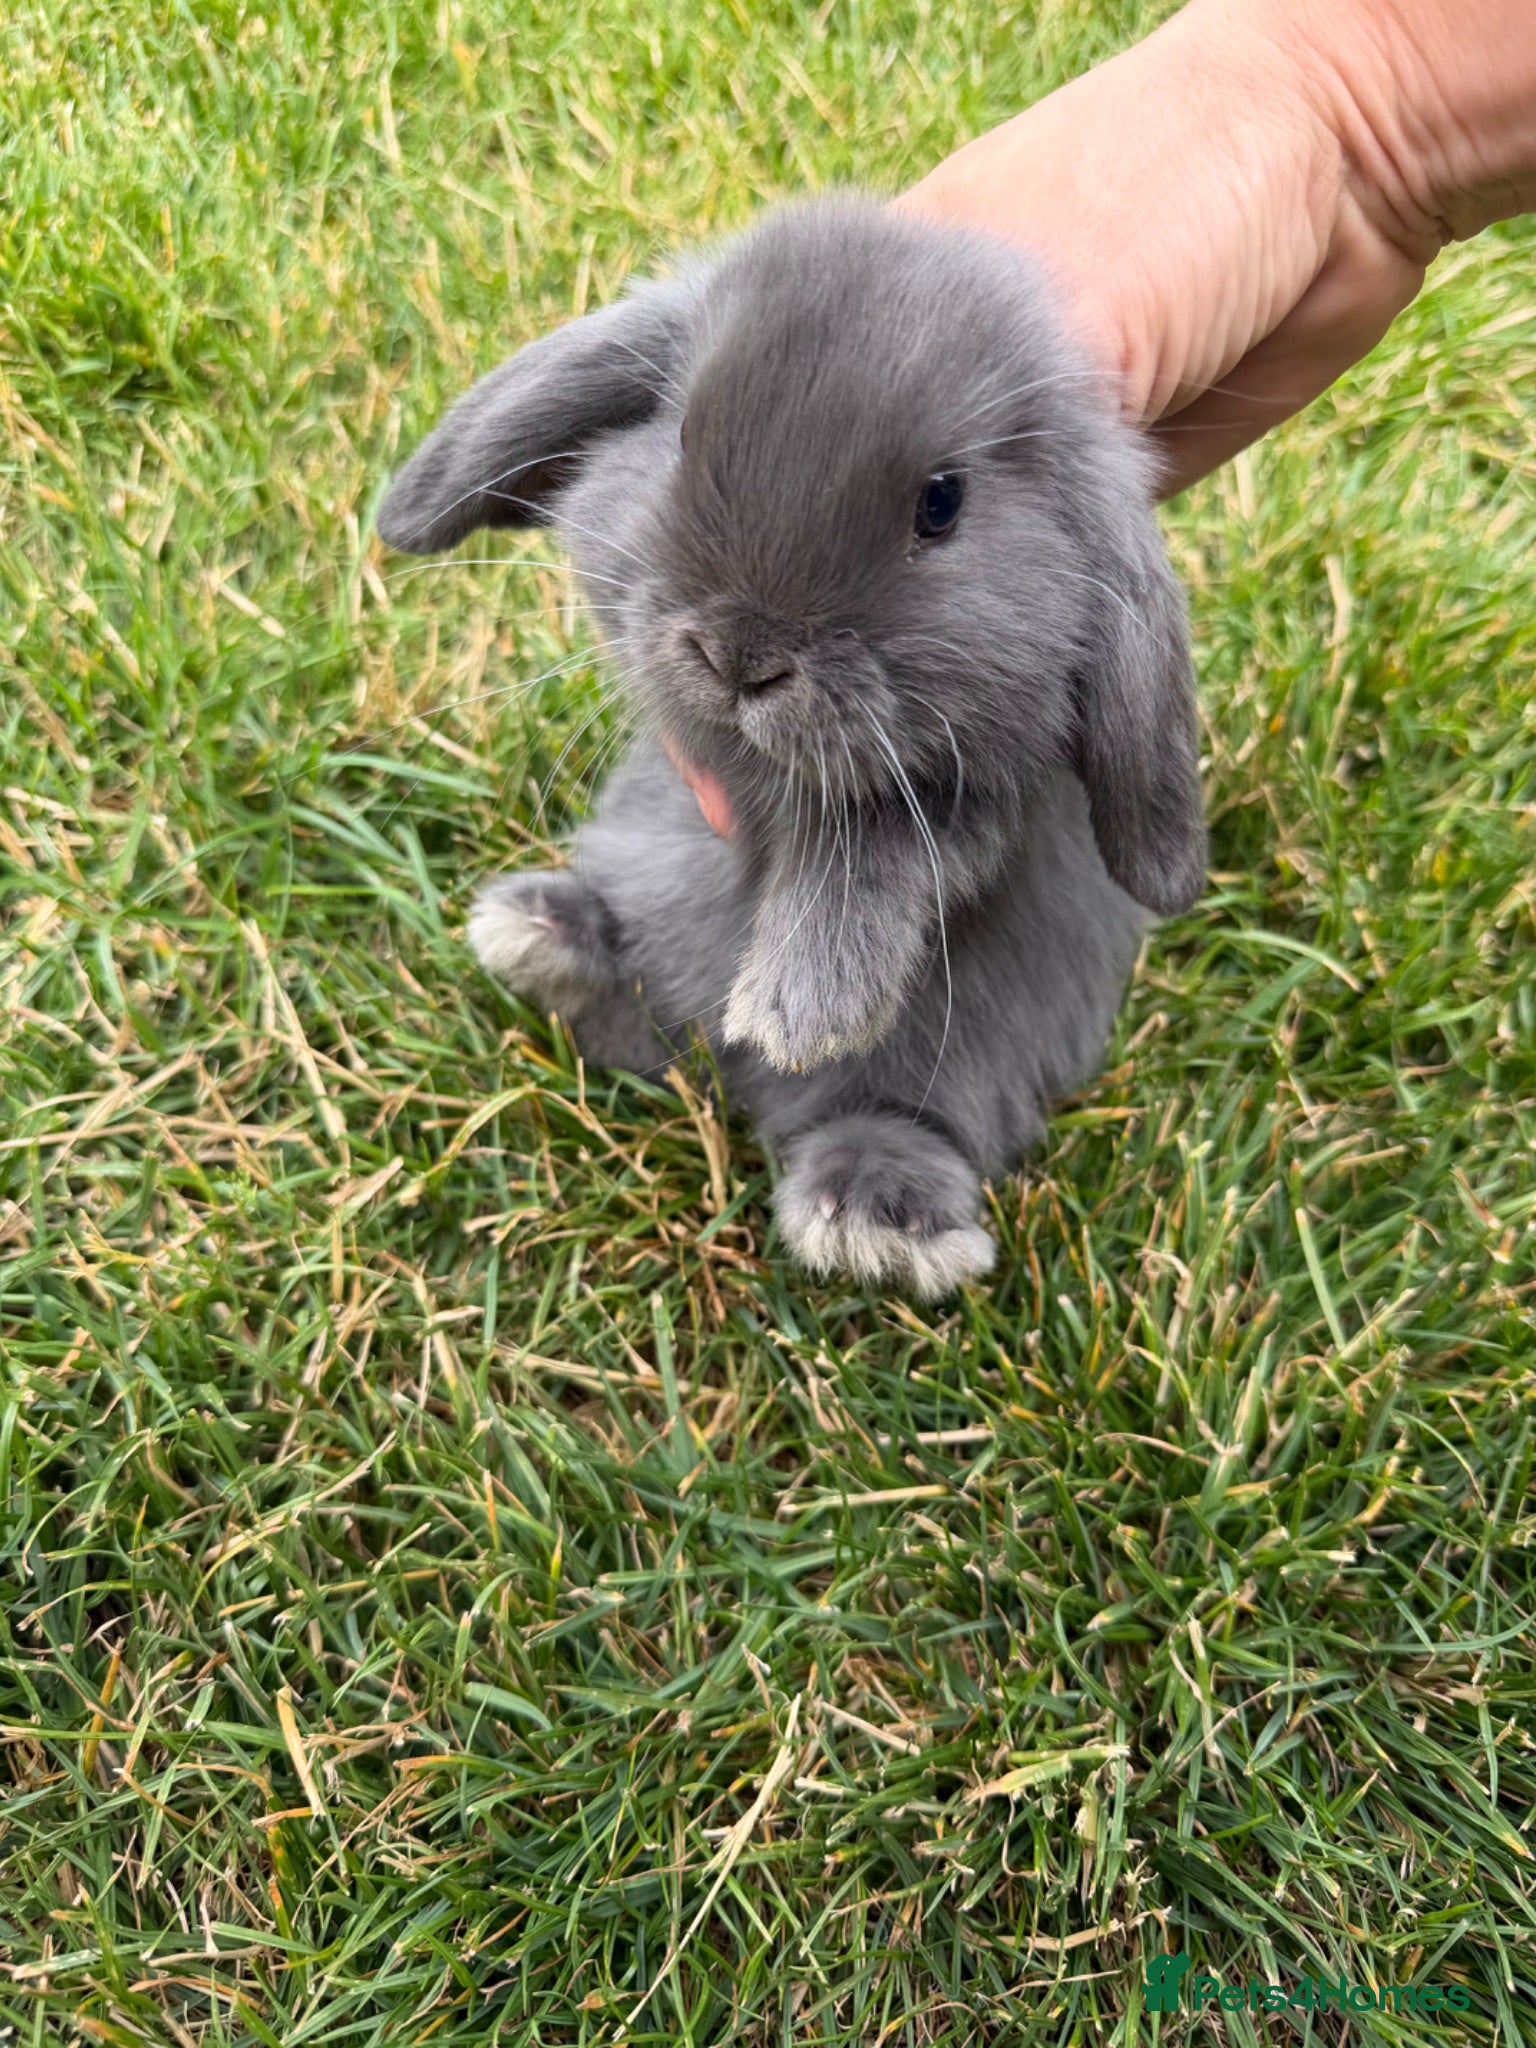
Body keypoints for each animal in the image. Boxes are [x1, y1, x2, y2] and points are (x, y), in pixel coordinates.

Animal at [376, 197, 1204, 1298]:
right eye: (683, 434)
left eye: (941, 501)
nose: (741, 655)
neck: (763, 775)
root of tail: (715, 1075)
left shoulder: (977, 797)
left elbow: (879, 846)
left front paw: (797, 1010)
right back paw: (546, 934)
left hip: (954, 1066)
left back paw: (872, 1213)